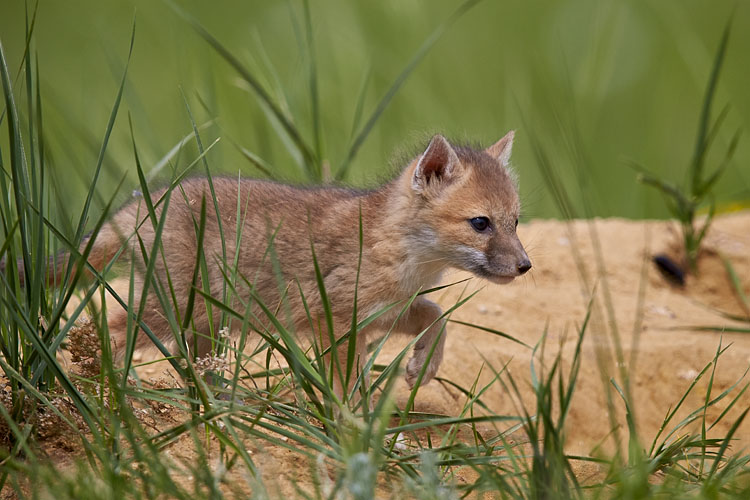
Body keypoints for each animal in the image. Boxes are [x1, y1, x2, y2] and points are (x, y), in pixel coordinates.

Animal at [2, 131, 530, 394]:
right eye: (481, 224)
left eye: (516, 221)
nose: (525, 266)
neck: (401, 254)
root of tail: (144, 203)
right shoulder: (335, 321)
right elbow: (343, 385)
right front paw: (349, 424)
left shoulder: (389, 311)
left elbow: (436, 317)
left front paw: (423, 367)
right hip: (166, 309)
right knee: (98, 325)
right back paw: (101, 380)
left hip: (201, 321)